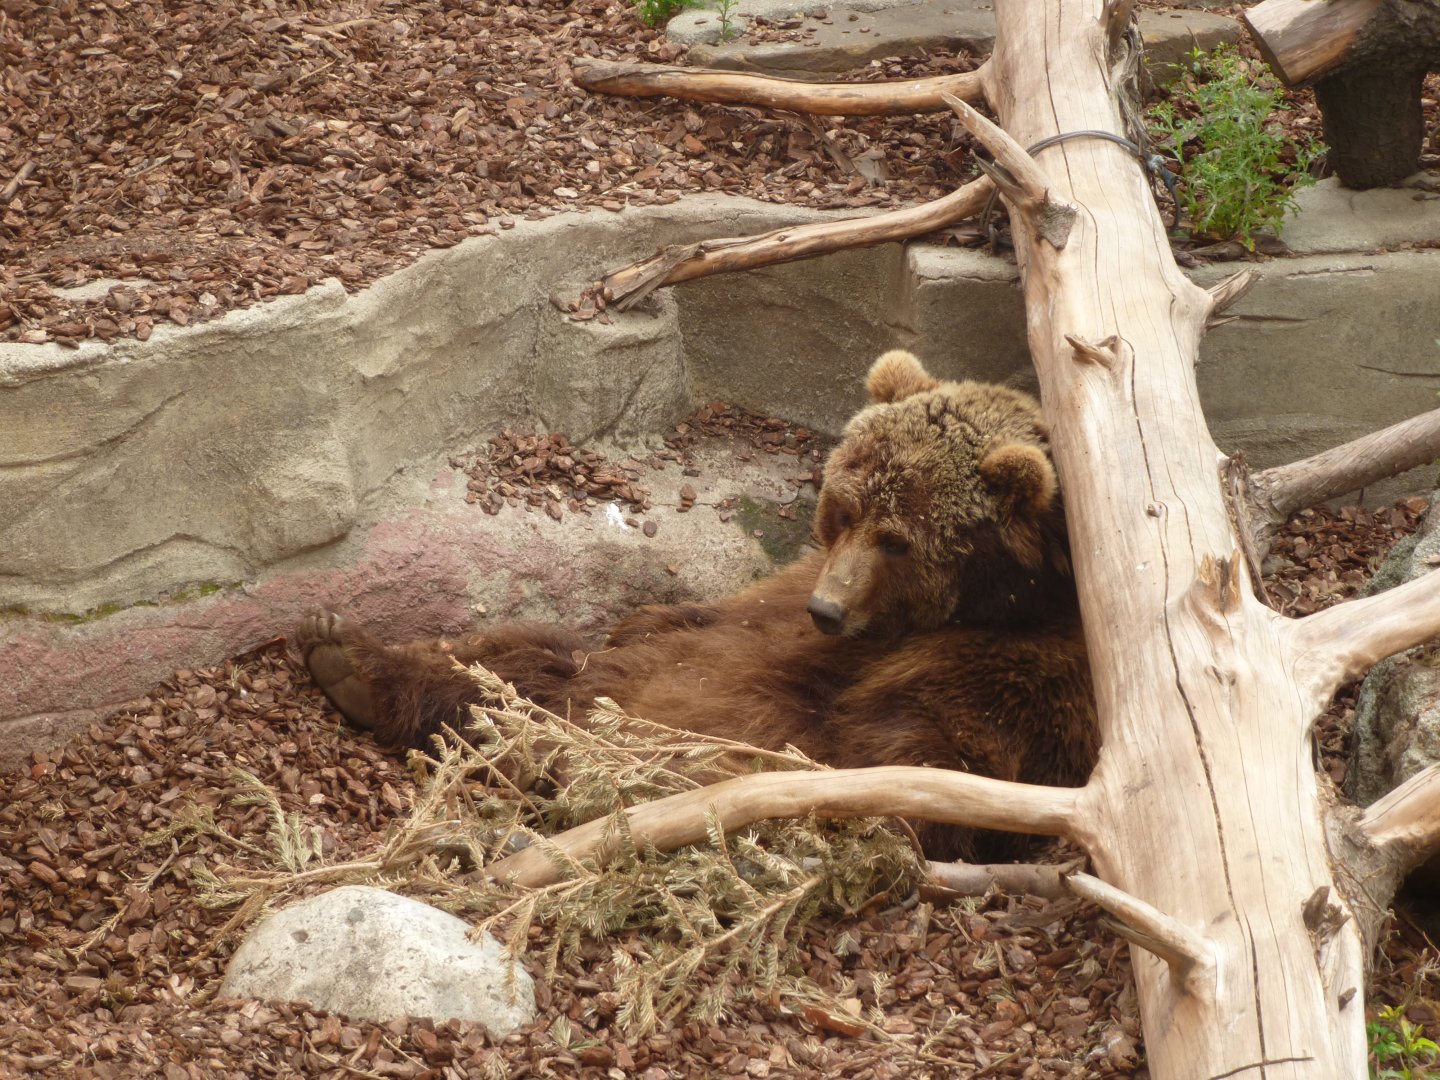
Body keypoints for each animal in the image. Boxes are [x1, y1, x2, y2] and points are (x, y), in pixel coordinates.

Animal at [296, 350, 1097, 861]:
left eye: (900, 539)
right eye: (844, 508)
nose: (827, 611)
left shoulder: (1023, 677)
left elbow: (914, 758)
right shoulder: (783, 590)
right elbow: (704, 617)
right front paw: (646, 617)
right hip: (583, 680)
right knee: (523, 662)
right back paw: (346, 655)